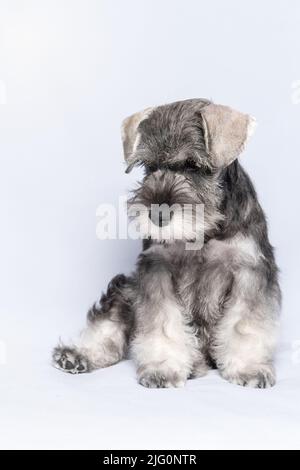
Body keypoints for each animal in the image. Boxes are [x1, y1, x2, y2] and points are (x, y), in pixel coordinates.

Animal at [52, 97, 282, 388]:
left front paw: (248, 367)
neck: (204, 233)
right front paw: (163, 366)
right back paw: (77, 354)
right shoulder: (156, 268)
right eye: (148, 167)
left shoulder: (249, 271)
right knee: (110, 325)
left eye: (193, 165)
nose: (157, 215)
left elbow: (245, 323)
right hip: (125, 287)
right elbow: (162, 323)